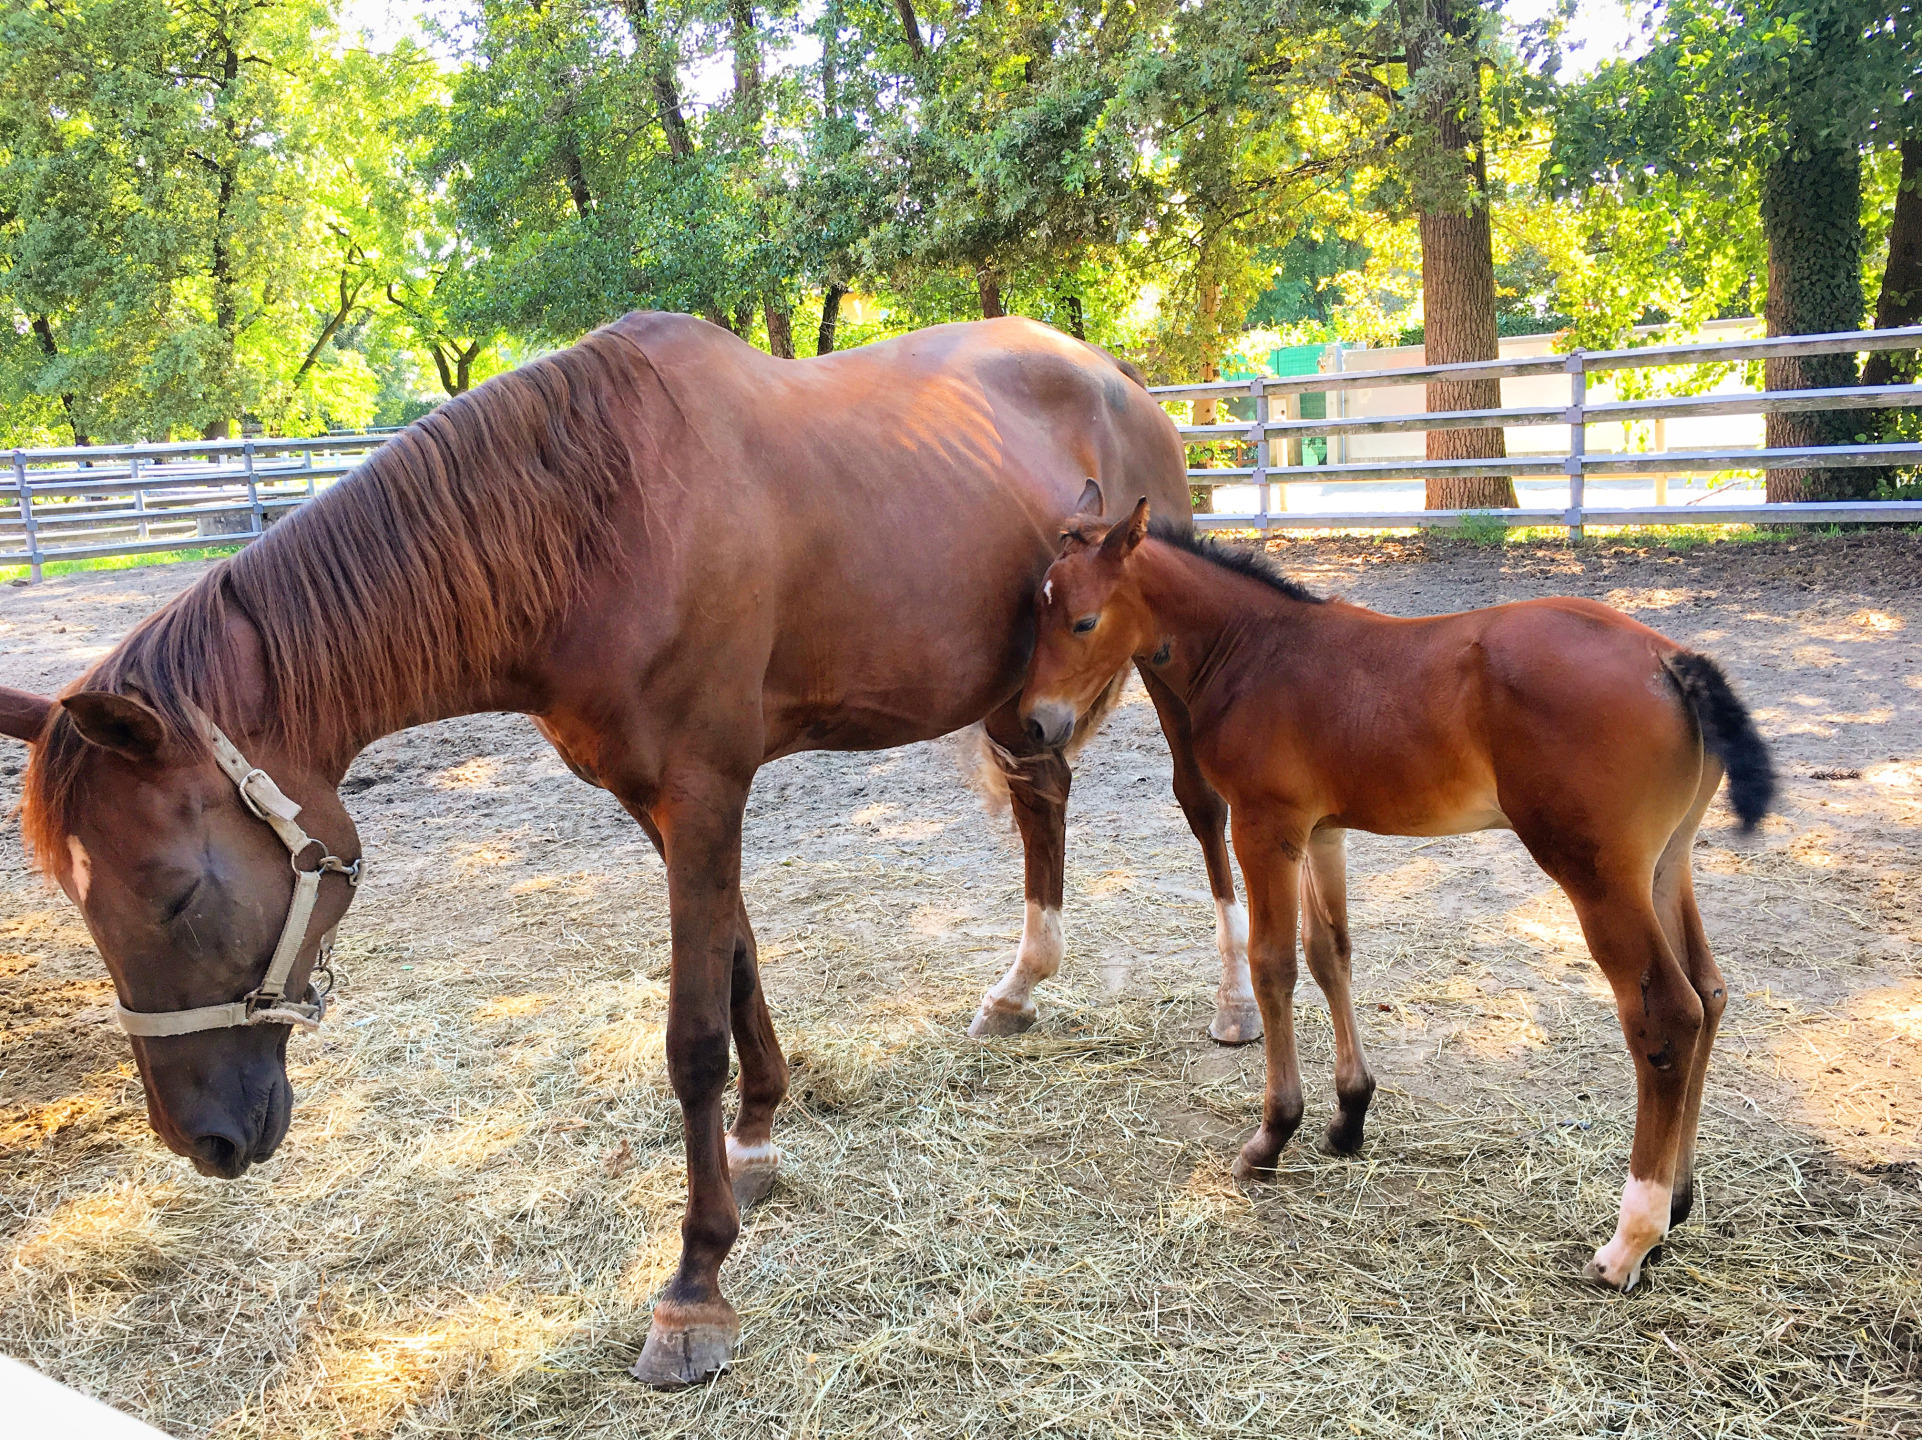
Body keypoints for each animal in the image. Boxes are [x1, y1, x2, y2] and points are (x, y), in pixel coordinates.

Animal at [0, 315, 1253, 1384]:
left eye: (174, 895)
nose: (198, 1140)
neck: (595, 525)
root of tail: (1111, 373)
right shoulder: (664, 803)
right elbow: (737, 960)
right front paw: (758, 1136)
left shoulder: (704, 791)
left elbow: (690, 1037)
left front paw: (694, 1285)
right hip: (1021, 700)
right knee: (1042, 797)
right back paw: (1018, 987)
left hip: (1160, 657)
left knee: (1201, 809)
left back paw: (1236, 1000)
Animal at [1014, 503, 1775, 1291]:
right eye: (1036, 612)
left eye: (1083, 621)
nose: (1035, 723)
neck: (1256, 651)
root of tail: (1671, 662)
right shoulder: (1321, 831)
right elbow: (1330, 954)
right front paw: (1348, 1116)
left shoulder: (1265, 828)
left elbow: (1273, 967)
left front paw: (1272, 1135)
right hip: (1664, 863)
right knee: (1709, 992)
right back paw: (1678, 1206)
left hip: (1597, 874)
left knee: (1667, 1016)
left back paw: (1630, 1239)